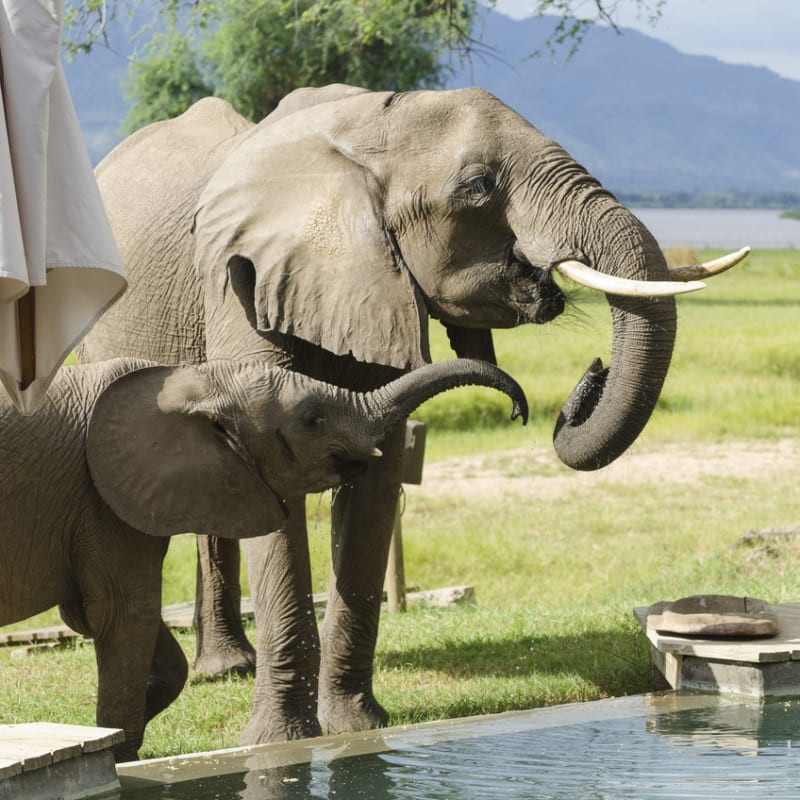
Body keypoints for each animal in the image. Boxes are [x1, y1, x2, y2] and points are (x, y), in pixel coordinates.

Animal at [0, 356, 527, 761]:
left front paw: (114, 732)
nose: (519, 413)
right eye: (312, 418)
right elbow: (123, 614)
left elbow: (105, 621)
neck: (194, 380)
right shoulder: (102, 499)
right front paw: (120, 752)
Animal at [76, 84, 746, 744]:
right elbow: (276, 478)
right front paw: (281, 744)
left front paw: (357, 728)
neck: (363, 127)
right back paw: (226, 671)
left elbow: (378, 469)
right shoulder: (239, 284)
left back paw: (233, 665)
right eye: (478, 185)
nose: (592, 374)